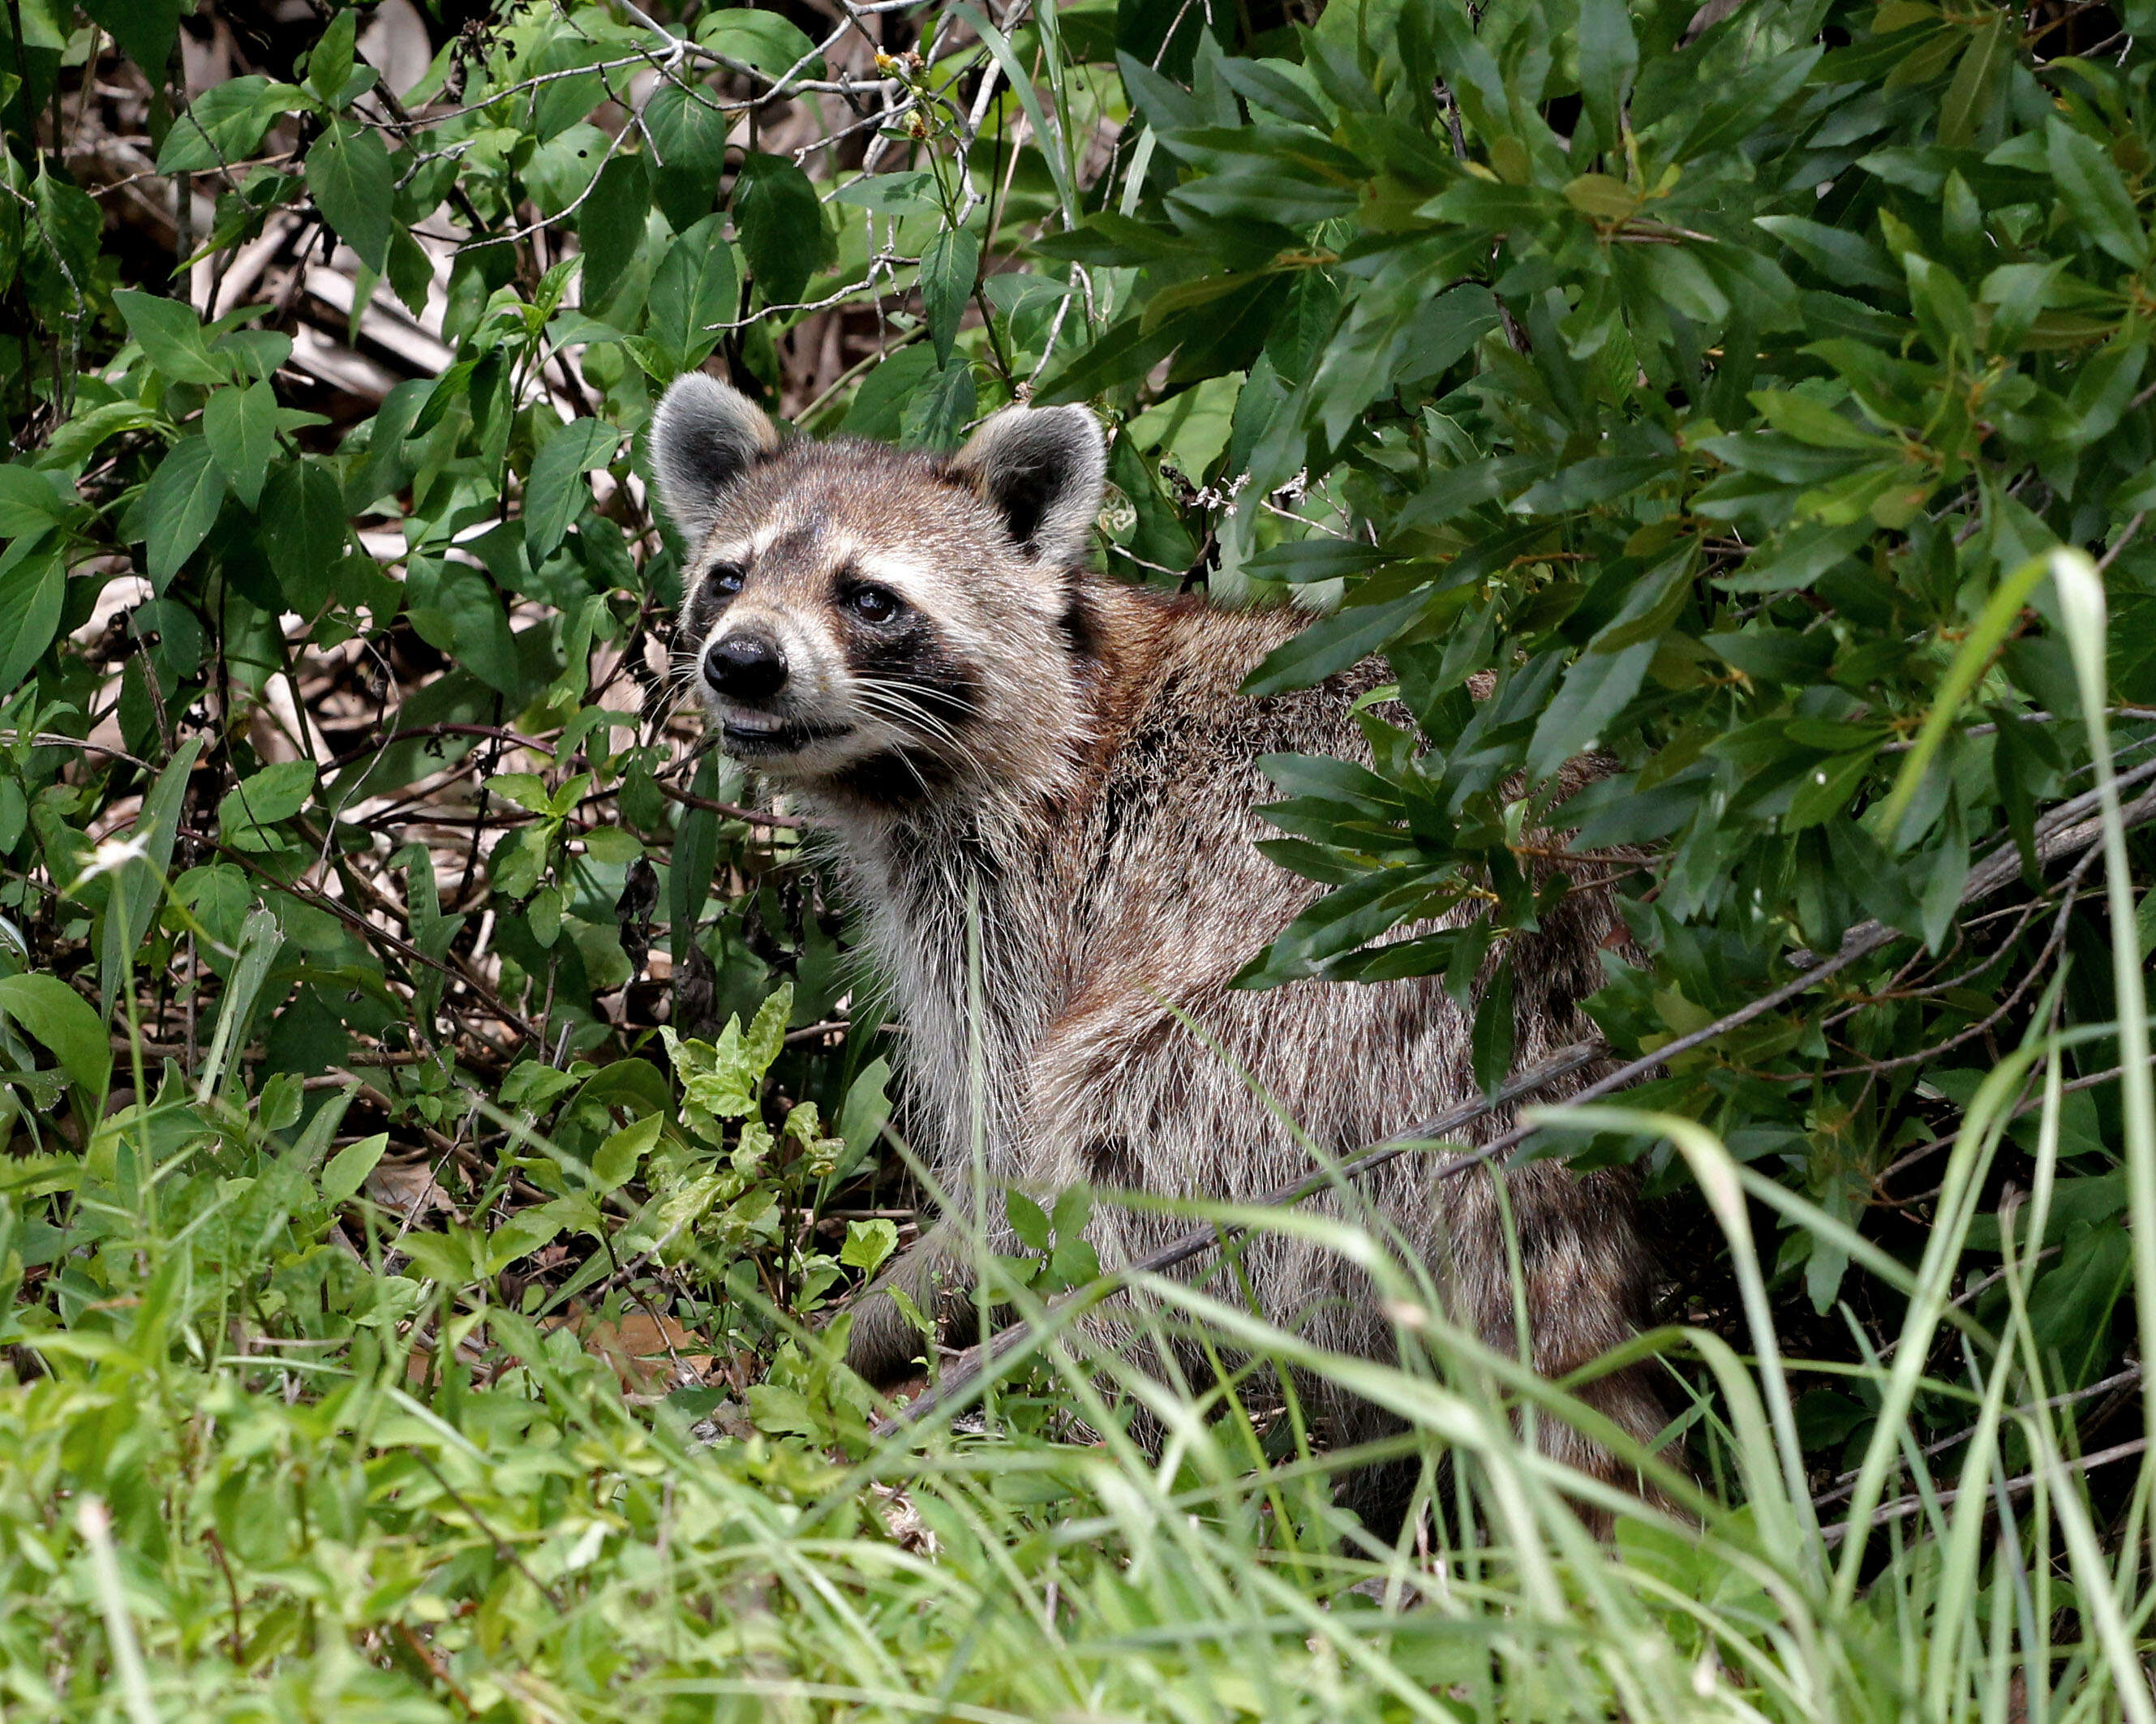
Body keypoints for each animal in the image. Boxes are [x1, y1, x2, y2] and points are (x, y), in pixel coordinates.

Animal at [646, 372, 1656, 1525]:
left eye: (869, 598)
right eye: (728, 577)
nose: (740, 661)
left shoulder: (1020, 908)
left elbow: (1012, 1181)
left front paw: (856, 1334)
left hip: (1288, 1036)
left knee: (1119, 1148)